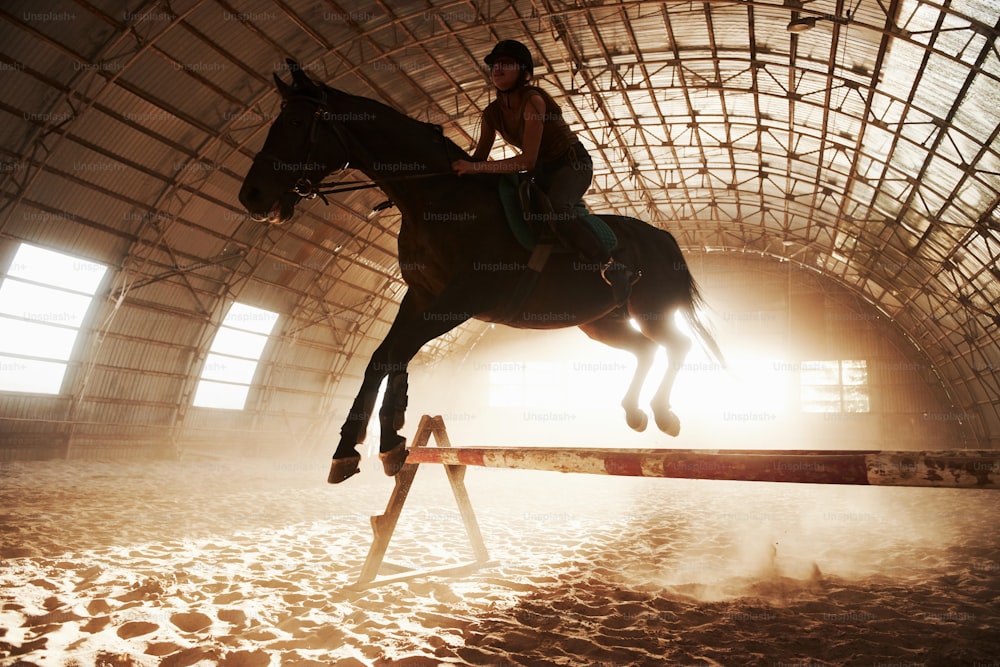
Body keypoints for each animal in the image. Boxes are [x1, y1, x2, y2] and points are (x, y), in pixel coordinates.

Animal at [242, 60, 728, 482]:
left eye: (294, 124)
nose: (251, 197)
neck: (435, 199)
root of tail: (663, 236)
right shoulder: (420, 295)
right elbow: (385, 356)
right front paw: (375, 444)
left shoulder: (460, 300)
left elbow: (393, 353)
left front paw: (373, 444)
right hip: (600, 322)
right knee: (646, 350)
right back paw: (636, 414)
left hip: (651, 310)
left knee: (676, 346)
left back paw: (664, 415)